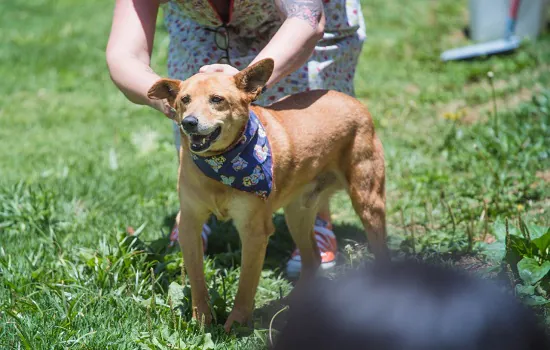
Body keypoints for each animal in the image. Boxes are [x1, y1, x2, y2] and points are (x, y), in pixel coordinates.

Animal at [147, 58, 388, 332]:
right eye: (184, 99)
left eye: (217, 99)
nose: (189, 122)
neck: (221, 164)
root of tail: (350, 100)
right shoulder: (189, 223)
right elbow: (197, 278)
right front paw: (201, 320)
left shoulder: (253, 230)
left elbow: (245, 285)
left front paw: (236, 326)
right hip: (298, 214)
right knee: (313, 258)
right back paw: (294, 301)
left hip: (367, 201)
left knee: (380, 248)